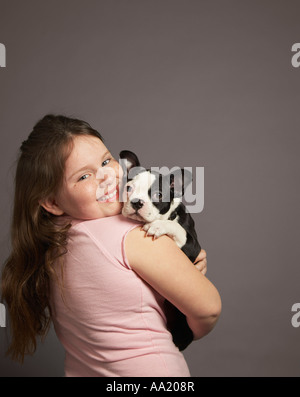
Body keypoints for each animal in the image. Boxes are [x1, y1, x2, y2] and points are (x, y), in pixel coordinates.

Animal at [118, 149, 200, 350]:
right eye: (128, 188)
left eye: (158, 195)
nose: (137, 202)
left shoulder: (193, 247)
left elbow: (177, 228)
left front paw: (158, 226)